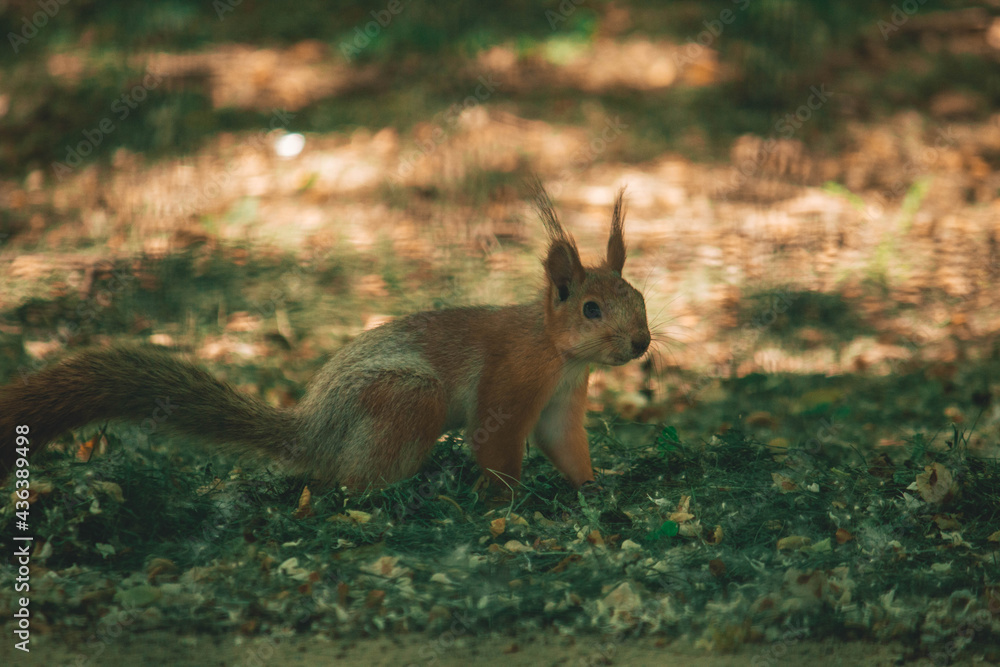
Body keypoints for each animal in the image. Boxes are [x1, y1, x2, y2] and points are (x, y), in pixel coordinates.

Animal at [0, 184, 650, 493]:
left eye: (640, 298)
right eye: (591, 309)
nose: (641, 344)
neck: (557, 353)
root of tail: (314, 430)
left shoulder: (563, 396)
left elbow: (564, 443)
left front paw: (593, 488)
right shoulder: (512, 378)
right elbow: (497, 448)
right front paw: (506, 507)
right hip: (409, 395)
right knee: (351, 482)